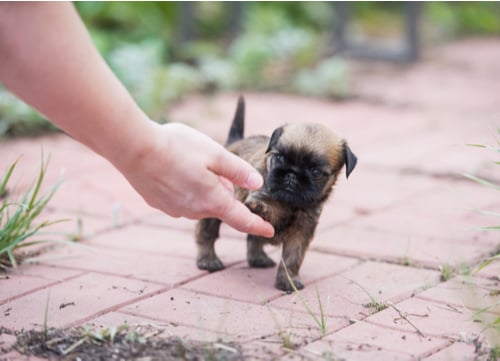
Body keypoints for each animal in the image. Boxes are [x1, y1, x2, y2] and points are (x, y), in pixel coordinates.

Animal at [195, 97, 356, 292]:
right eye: (279, 158)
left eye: (316, 172)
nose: (291, 175)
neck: (292, 205)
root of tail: (233, 143)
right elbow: (269, 207)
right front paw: (261, 206)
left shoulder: (300, 233)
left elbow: (292, 258)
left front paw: (288, 281)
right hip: (214, 208)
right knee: (206, 233)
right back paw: (208, 260)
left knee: (253, 239)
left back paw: (258, 258)